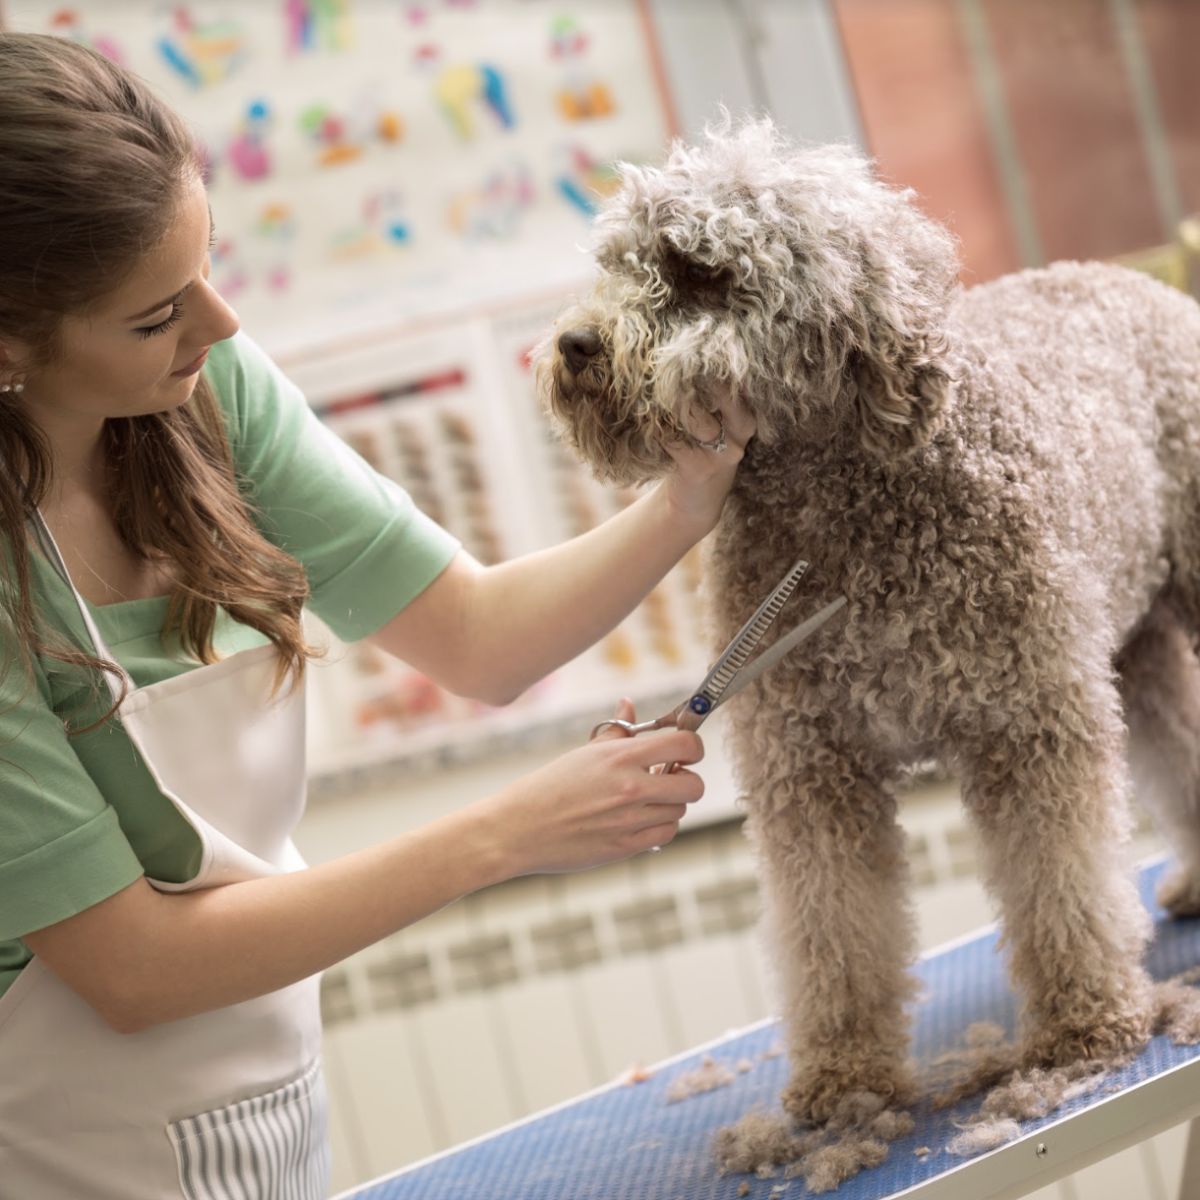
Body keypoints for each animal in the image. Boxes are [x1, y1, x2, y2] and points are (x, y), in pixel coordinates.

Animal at [535, 117, 1200, 1128]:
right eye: (614, 262)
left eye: (697, 270)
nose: (575, 343)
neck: (840, 522)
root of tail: (1124, 275)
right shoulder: (810, 768)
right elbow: (833, 931)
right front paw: (846, 1077)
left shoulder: (1027, 722)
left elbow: (1062, 881)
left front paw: (1085, 1022)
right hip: (1139, 645)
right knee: (1178, 744)